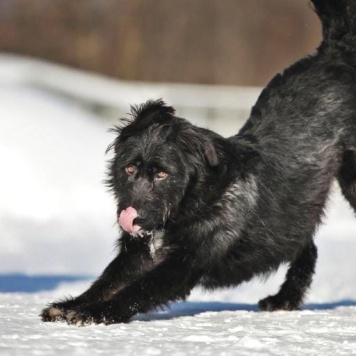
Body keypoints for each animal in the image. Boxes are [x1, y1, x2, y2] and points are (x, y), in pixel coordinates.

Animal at [40, 0, 356, 326]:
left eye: (162, 173)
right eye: (129, 169)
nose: (133, 217)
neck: (195, 199)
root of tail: (336, 46)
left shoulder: (184, 264)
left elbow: (135, 291)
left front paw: (95, 312)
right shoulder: (139, 252)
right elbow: (107, 281)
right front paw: (73, 304)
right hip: (292, 217)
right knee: (307, 246)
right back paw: (285, 298)